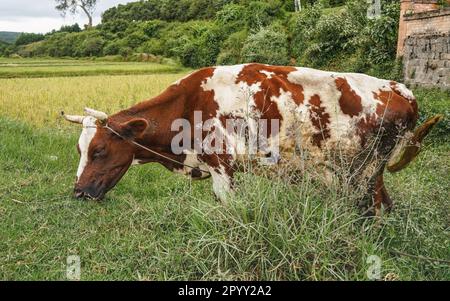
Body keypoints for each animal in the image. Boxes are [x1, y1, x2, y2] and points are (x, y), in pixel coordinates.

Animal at [61, 63, 442, 214]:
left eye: (99, 150)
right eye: (80, 148)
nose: (78, 192)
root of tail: (402, 89)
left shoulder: (222, 169)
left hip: (365, 172)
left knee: (376, 209)